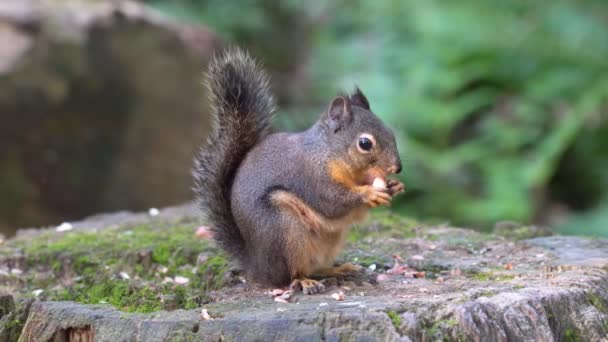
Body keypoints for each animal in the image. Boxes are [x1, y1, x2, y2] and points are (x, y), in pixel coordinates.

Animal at [195, 48, 404, 294]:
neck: (330, 154)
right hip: (283, 229)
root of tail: (256, 266)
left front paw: (394, 186)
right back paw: (304, 281)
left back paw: (339, 270)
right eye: (365, 143)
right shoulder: (310, 176)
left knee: (316, 267)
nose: (397, 168)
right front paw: (369, 193)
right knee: (290, 274)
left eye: (390, 131)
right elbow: (332, 202)